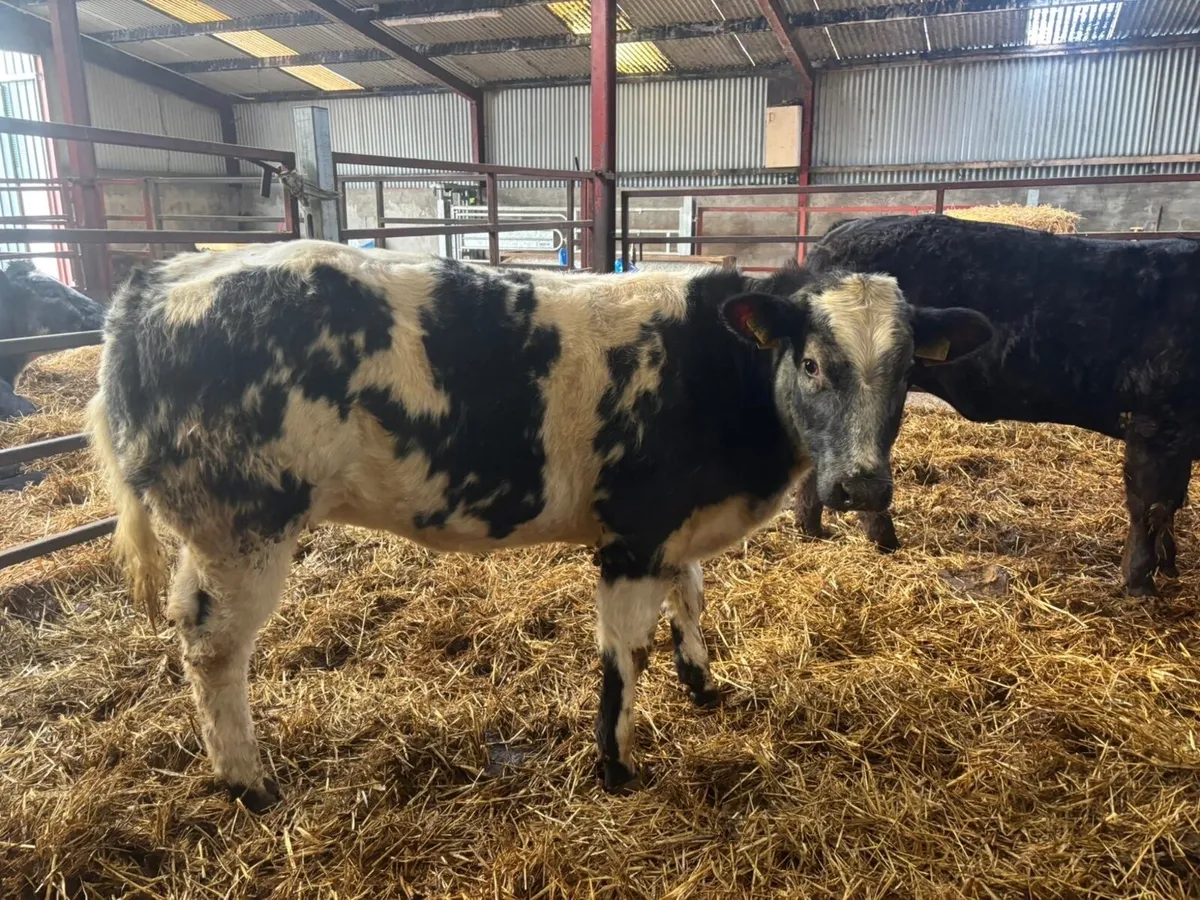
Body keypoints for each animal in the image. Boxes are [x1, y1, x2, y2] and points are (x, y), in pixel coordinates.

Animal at [87, 240, 991, 811]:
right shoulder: (635, 534)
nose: (861, 484)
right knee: (212, 648)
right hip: (242, 526)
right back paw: (249, 783)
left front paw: (704, 684)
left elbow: (692, 600)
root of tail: (163, 277)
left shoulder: (680, 527)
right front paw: (617, 765)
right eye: (810, 363)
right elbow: (625, 654)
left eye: (907, 374)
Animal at [794, 214, 1200, 597]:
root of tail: (845, 228)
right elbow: (1150, 505)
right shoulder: (1156, 425)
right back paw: (882, 538)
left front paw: (1168, 564)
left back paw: (812, 529)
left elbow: (1171, 503)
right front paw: (1141, 582)